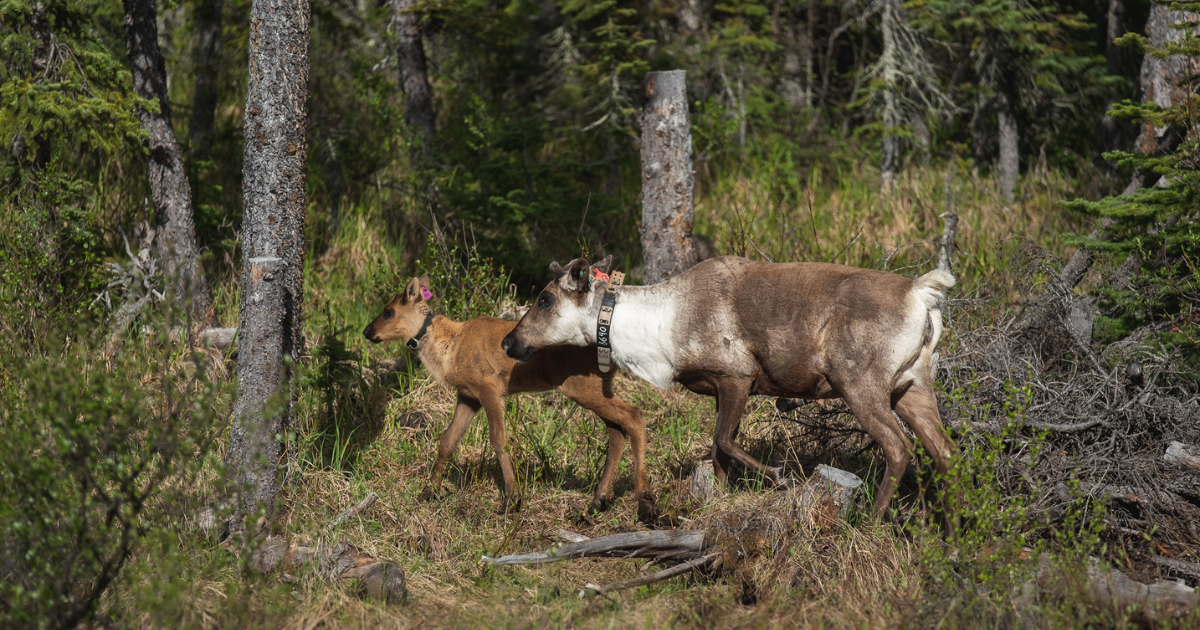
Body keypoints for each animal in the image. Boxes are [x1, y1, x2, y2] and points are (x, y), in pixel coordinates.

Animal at [362, 272, 652, 518]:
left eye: (388, 311)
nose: (366, 331)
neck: (448, 350)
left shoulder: (489, 387)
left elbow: (498, 440)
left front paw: (512, 500)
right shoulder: (467, 395)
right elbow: (447, 441)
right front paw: (428, 491)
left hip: (582, 385)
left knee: (634, 416)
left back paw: (644, 502)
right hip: (597, 387)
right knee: (617, 430)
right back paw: (598, 500)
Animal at [501, 253, 960, 518]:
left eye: (544, 299)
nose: (509, 342)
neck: (660, 335)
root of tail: (921, 294)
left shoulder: (737, 375)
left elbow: (722, 439)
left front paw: (778, 476)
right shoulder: (724, 389)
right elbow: (718, 448)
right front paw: (718, 495)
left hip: (859, 382)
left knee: (899, 448)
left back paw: (871, 521)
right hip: (912, 387)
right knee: (946, 452)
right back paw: (954, 530)